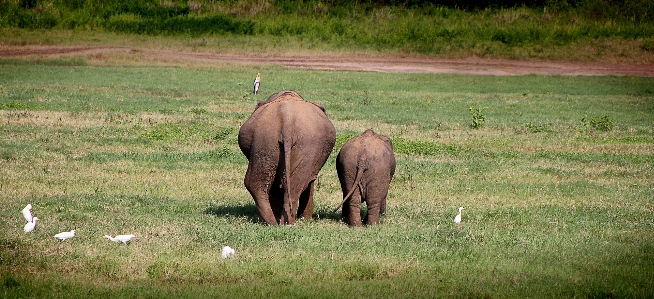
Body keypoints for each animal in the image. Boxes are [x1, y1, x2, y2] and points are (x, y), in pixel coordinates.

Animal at [238, 90, 338, 226]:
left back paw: (276, 222)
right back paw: (283, 222)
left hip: (267, 139)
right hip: (294, 142)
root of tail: (287, 120)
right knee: (295, 183)